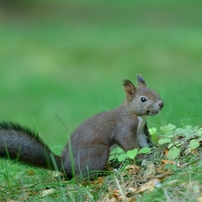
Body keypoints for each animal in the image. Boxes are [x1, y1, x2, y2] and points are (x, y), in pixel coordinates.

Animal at [0, 75, 163, 179]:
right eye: (143, 99)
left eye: (156, 92)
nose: (161, 104)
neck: (136, 115)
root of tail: (65, 164)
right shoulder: (124, 127)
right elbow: (130, 146)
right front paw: (141, 157)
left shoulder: (141, 131)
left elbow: (144, 143)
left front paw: (152, 152)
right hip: (97, 152)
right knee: (81, 177)